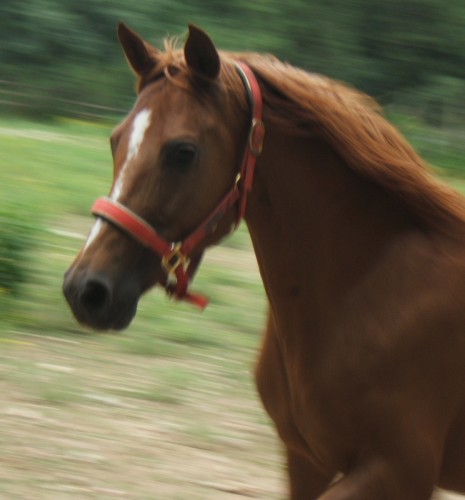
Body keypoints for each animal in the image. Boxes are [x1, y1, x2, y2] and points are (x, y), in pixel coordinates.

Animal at [62, 23, 465, 500]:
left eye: (183, 152)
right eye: (115, 140)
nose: (85, 289)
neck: (371, 287)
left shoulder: (398, 470)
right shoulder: (305, 459)